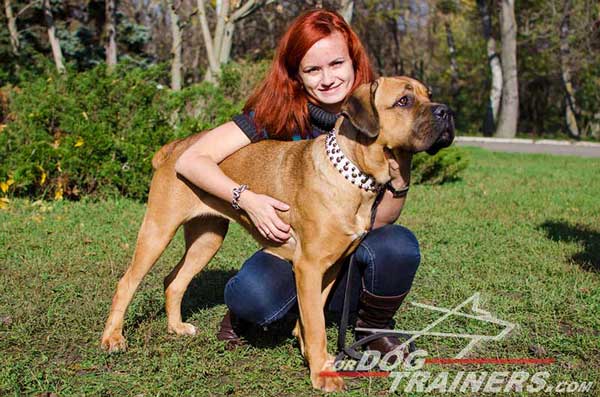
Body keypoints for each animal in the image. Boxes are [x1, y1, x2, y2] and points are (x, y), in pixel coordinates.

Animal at [101, 76, 452, 390]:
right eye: (404, 101)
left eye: (429, 94)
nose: (446, 111)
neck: (353, 174)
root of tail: (176, 146)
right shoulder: (309, 266)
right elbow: (317, 323)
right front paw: (322, 373)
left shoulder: (330, 267)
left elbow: (313, 314)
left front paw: (312, 355)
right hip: (158, 229)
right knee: (127, 283)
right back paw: (113, 338)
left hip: (208, 237)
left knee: (174, 281)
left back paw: (175, 327)